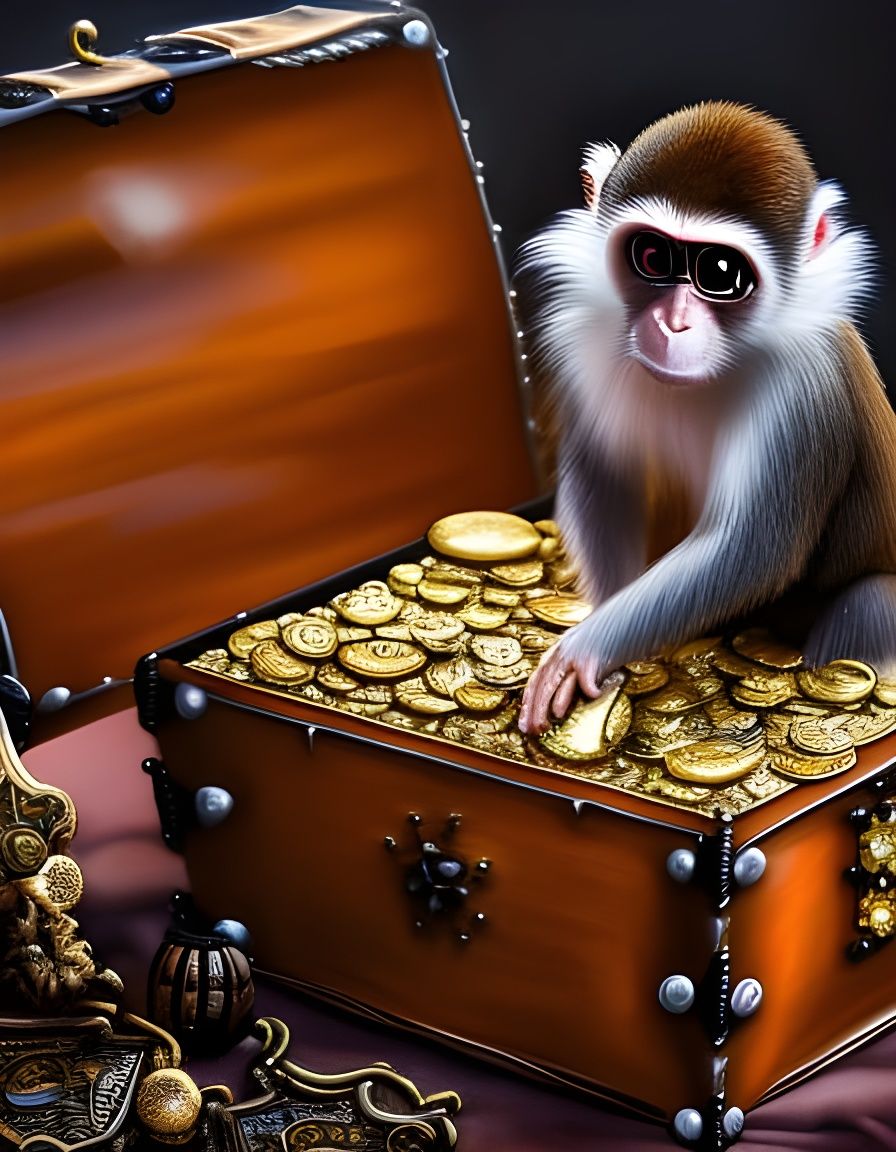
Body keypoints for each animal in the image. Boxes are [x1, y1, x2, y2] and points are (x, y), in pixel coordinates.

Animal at [517, 101, 896, 736]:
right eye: (652, 257)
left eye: (719, 271)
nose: (674, 323)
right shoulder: (579, 340)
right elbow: (605, 478)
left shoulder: (806, 383)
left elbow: (750, 547)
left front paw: (584, 650)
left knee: (870, 604)